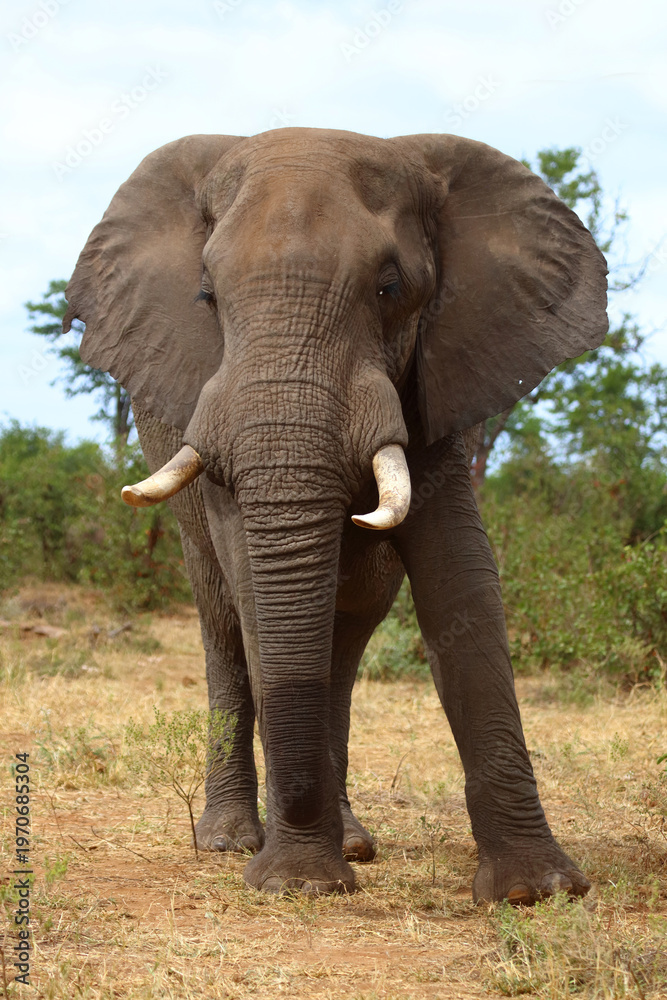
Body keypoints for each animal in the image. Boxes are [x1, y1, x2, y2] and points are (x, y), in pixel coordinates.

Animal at [64, 128, 608, 903]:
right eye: (206, 295)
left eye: (390, 288)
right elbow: (253, 590)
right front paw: (297, 882)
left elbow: (461, 580)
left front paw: (537, 891)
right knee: (223, 620)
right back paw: (231, 841)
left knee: (344, 642)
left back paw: (347, 841)